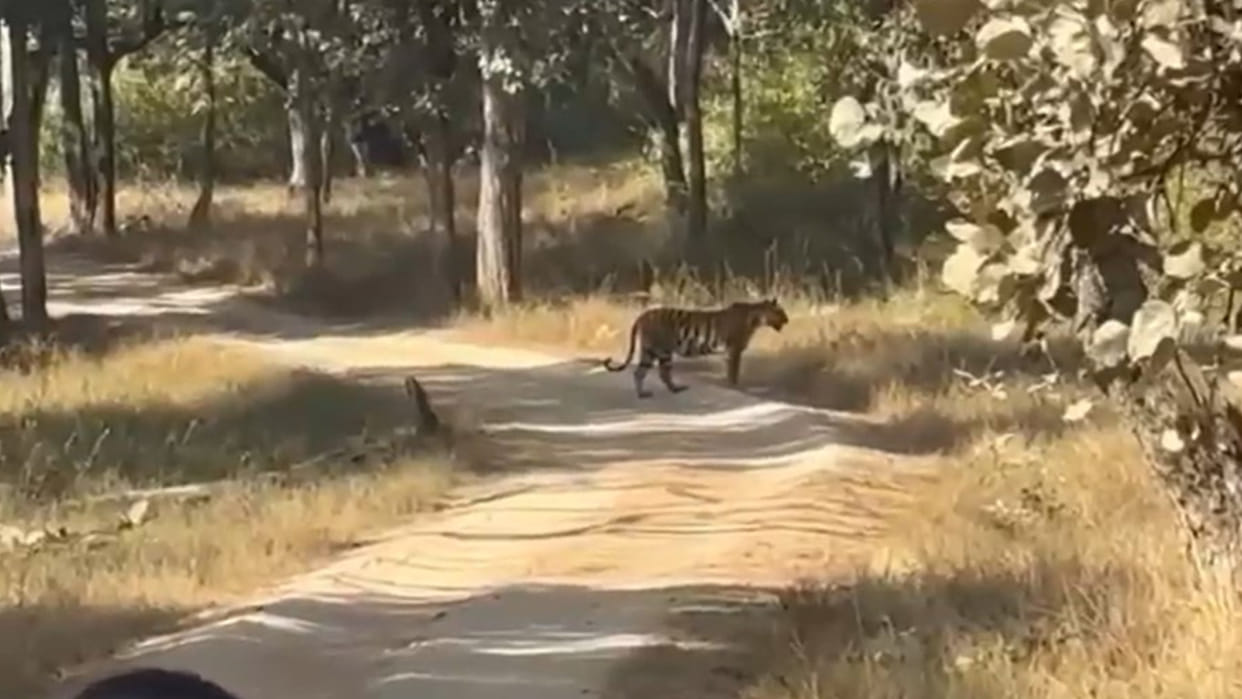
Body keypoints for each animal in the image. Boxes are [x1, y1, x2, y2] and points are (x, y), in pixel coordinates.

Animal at [603, 298, 789, 398]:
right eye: (781, 312)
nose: (787, 320)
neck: (757, 317)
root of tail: (642, 315)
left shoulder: (730, 352)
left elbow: (730, 370)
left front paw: (731, 385)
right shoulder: (735, 349)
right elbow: (733, 371)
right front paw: (735, 386)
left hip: (652, 350)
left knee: (644, 372)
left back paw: (656, 392)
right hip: (660, 349)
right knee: (657, 372)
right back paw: (660, 391)